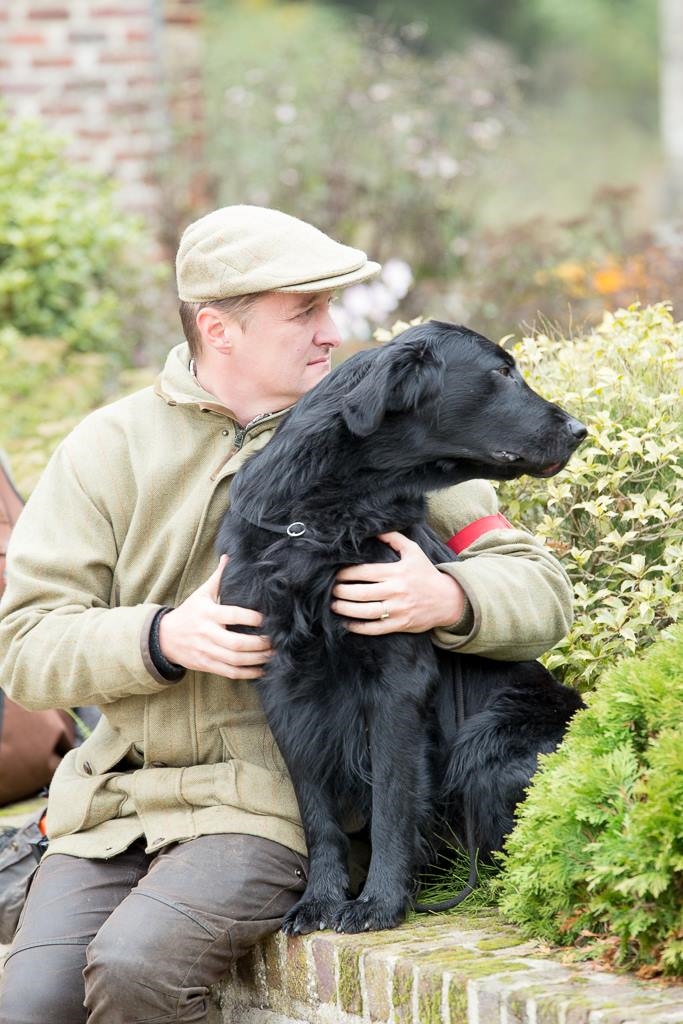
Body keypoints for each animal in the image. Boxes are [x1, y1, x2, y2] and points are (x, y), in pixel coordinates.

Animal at [217, 320, 586, 935]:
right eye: (501, 372)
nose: (581, 430)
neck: (323, 518)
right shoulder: (283, 687)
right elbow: (315, 812)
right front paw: (319, 900)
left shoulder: (396, 682)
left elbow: (391, 799)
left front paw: (379, 901)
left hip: (488, 745)